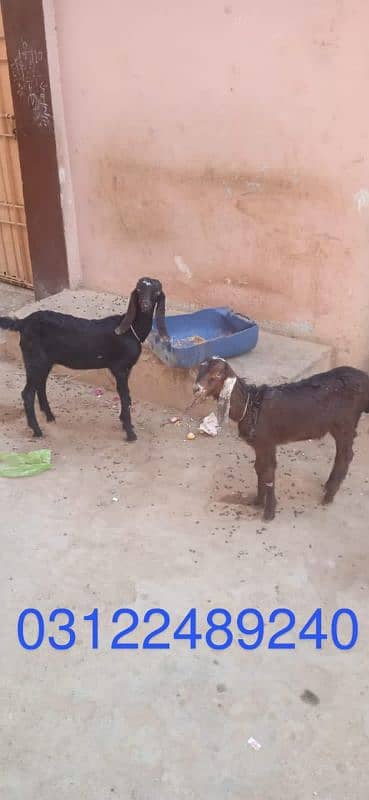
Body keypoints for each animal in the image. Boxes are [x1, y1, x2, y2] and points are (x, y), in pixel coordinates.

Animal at [0, 276, 168, 438]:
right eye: (139, 290)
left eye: (157, 292)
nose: (145, 305)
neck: (131, 331)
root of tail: (22, 323)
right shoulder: (120, 368)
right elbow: (125, 396)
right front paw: (130, 433)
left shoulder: (127, 369)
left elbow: (125, 395)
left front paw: (126, 424)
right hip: (34, 359)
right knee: (27, 394)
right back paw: (37, 431)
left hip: (44, 361)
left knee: (40, 386)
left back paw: (49, 416)